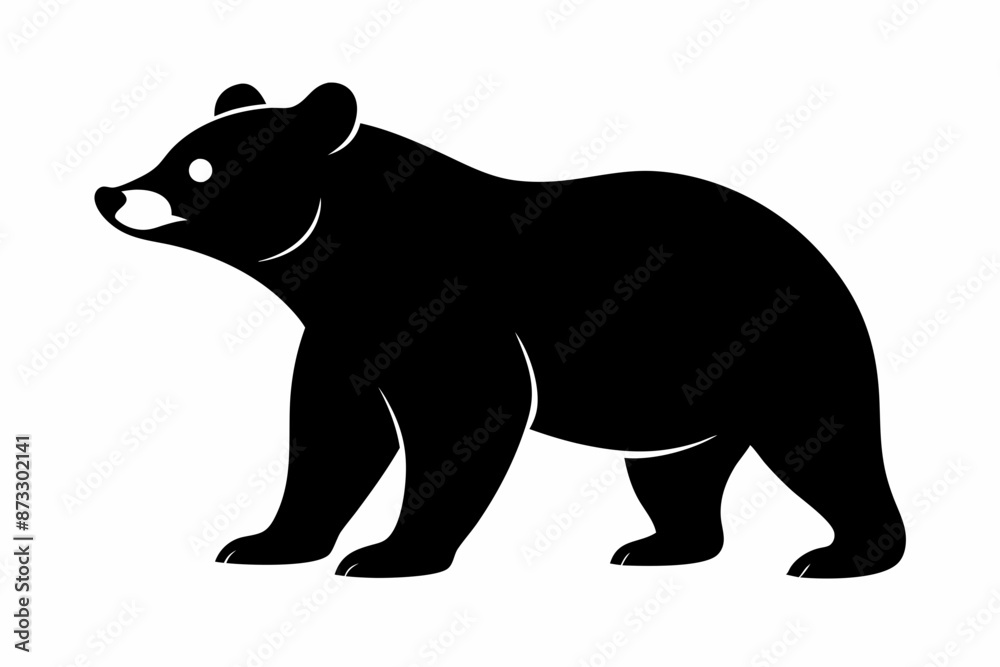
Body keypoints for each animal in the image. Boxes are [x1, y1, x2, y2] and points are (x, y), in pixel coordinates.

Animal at [95, 83, 905, 578]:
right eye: (172, 149)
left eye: (200, 167)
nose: (112, 193)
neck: (344, 261)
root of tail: (830, 267)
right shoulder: (343, 330)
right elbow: (335, 432)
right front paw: (263, 543)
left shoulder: (444, 302)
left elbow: (466, 413)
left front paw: (387, 554)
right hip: (685, 398)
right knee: (675, 472)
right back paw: (659, 547)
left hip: (786, 348)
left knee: (825, 445)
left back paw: (841, 555)